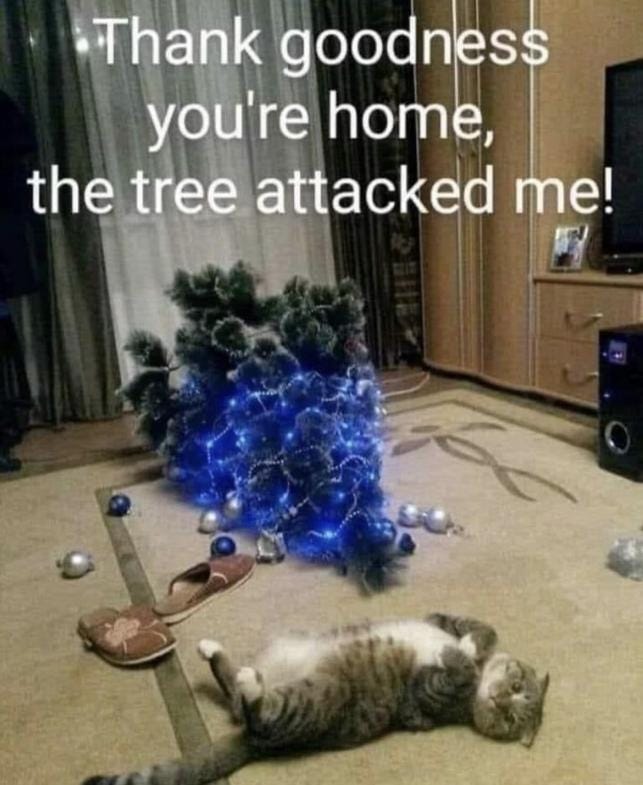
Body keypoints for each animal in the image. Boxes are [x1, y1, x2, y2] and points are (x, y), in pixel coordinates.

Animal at [82, 613, 549, 785]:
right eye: (518, 686)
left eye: (511, 721)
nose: (503, 701)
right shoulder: (443, 619)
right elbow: (479, 627)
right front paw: (472, 642)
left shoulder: (431, 693)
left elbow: (458, 668)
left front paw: (461, 653)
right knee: (234, 693)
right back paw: (214, 652)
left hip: (318, 697)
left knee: (256, 712)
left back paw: (250, 684)